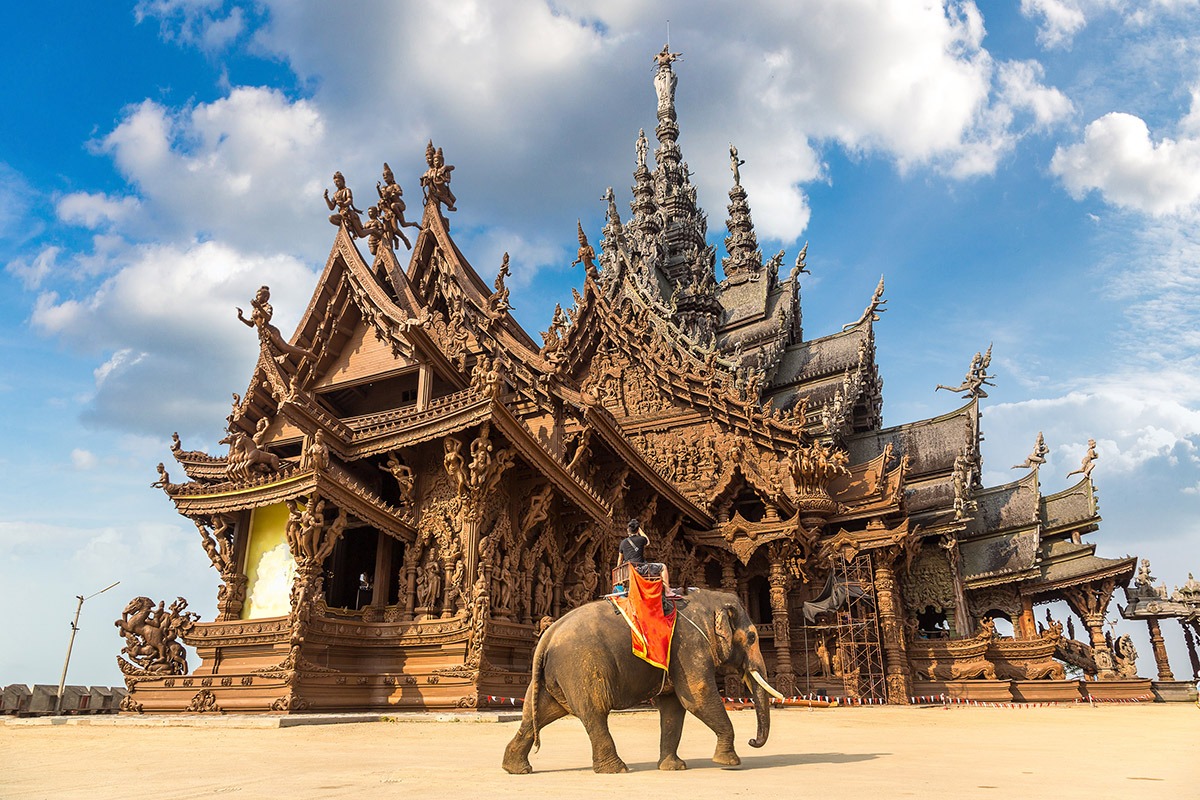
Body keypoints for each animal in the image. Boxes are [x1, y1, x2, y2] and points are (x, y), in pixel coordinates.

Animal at [501, 587, 782, 777]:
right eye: (752, 637)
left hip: (553, 676)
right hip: (581, 667)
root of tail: (547, 636)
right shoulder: (689, 647)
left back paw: (516, 769)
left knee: (538, 713)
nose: (752, 741)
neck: (707, 598)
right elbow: (697, 696)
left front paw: (674, 768)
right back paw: (616, 769)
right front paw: (729, 763)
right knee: (594, 712)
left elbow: (673, 707)